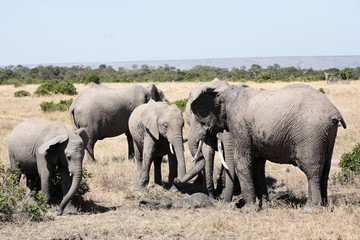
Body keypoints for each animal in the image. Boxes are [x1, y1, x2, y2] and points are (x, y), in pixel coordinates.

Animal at [188, 83, 346, 214]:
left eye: (201, 122)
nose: (220, 201)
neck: (226, 91)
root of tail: (335, 112)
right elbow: (258, 167)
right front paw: (264, 207)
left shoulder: (239, 124)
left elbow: (242, 162)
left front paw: (246, 210)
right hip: (327, 133)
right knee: (325, 169)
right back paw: (325, 206)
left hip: (310, 133)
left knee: (311, 170)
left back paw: (310, 210)